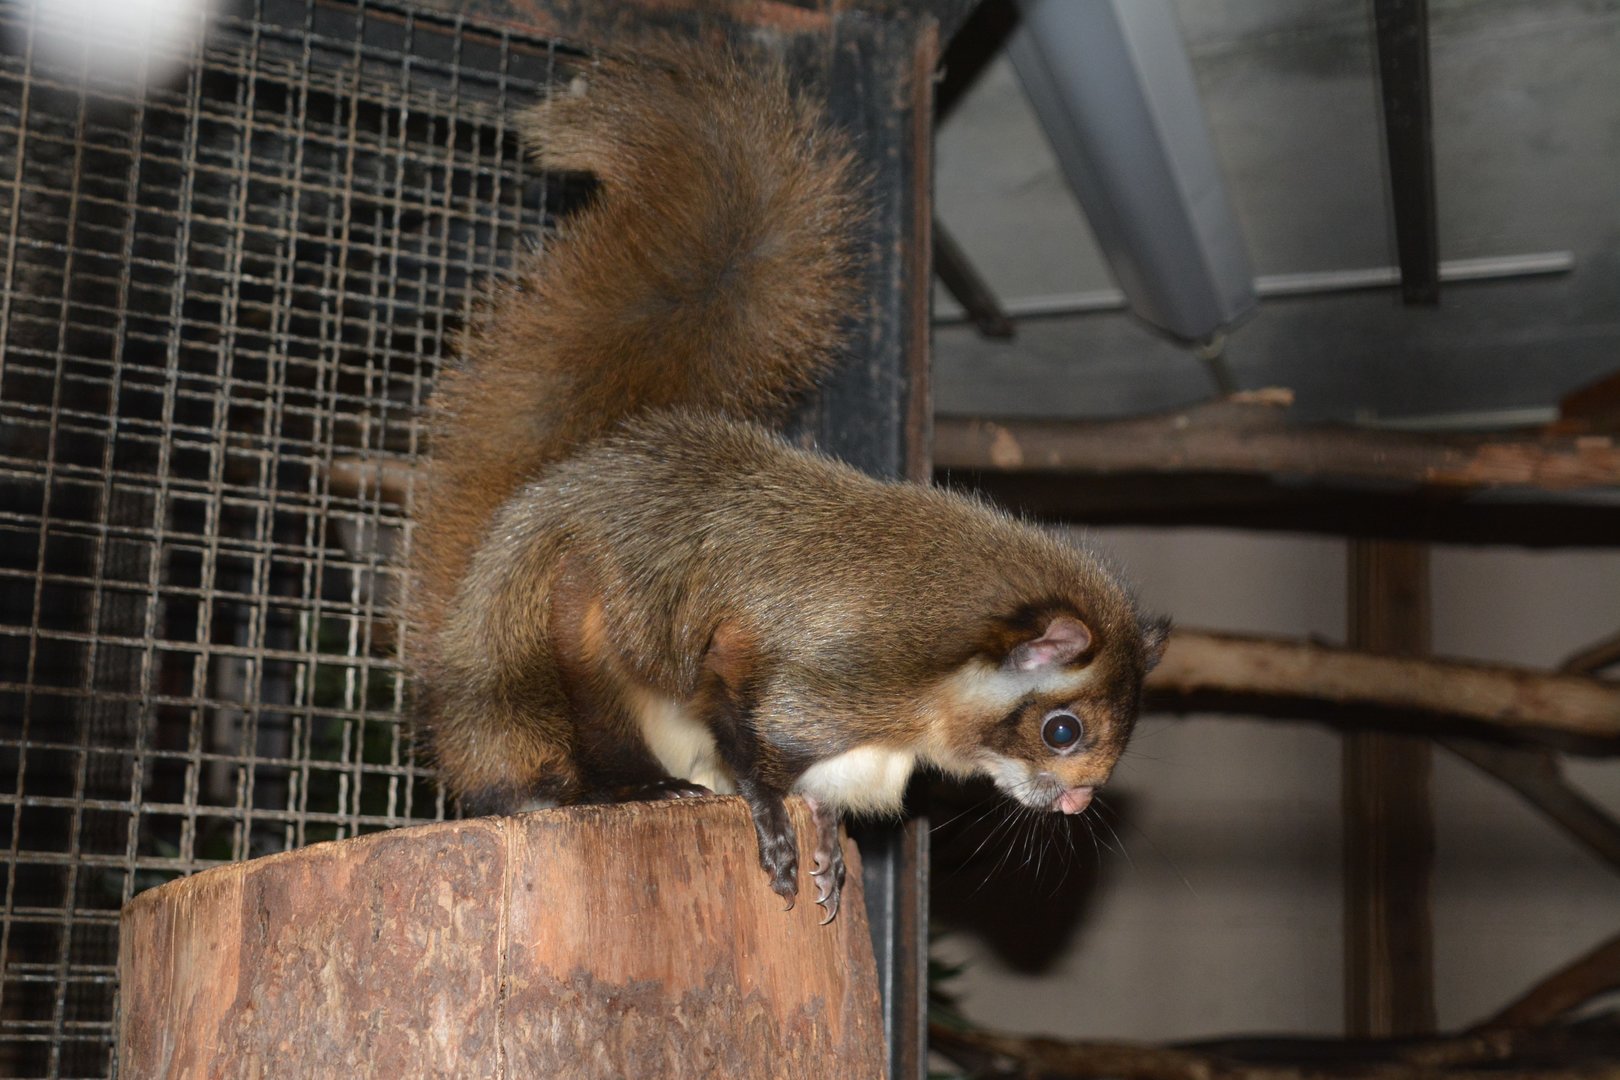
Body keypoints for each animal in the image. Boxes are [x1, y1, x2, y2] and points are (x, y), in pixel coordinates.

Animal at [406, 42, 1169, 923]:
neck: (925, 689)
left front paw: (827, 836)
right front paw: (770, 813)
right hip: (557, 648)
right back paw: (623, 787)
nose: (1078, 802)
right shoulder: (823, 669)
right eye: (1062, 731)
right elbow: (737, 718)